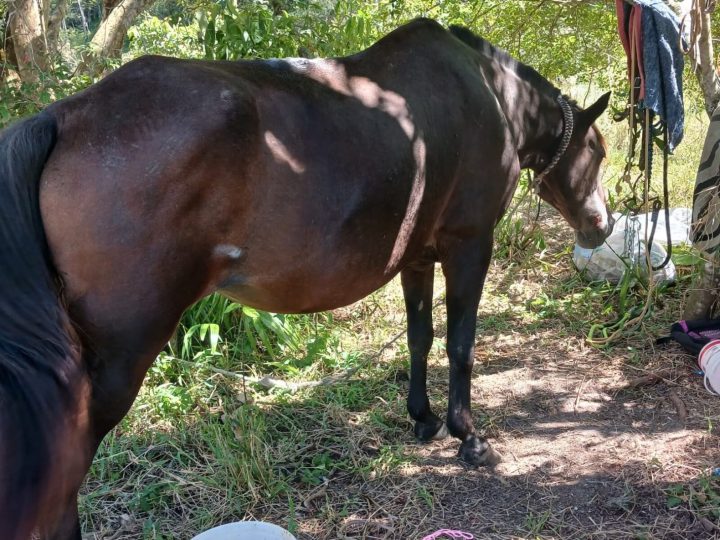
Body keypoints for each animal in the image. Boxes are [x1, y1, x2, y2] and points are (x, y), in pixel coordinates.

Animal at [0, 18, 613, 539]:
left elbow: (421, 338)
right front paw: (470, 439)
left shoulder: (418, 257)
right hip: (119, 358)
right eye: (598, 148)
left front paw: (423, 420)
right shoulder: (470, 244)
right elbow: (461, 344)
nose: (601, 225)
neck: (489, 94)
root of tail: (63, 118)